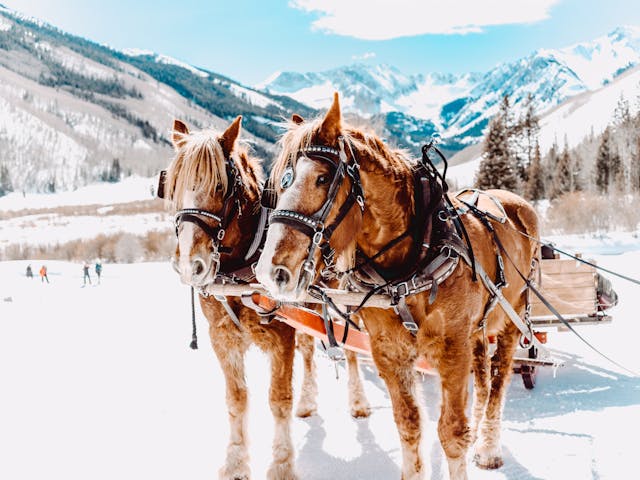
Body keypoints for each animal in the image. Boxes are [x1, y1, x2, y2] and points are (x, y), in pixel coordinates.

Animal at [163, 116, 370, 479]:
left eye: (220, 187)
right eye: (172, 187)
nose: (192, 265)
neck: (239, 270)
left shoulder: (280, 336)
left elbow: (278, 398)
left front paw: (282, 465)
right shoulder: (223, 338)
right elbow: (236, 399)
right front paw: (235, 461)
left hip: (342, 299)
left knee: (351, 349)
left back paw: (358, 401)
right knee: (309, 350)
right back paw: (308, 401)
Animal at [255, 93, 540, 479]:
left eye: (322, 178)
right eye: (281, 183)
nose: (272, 271)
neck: (412, 260)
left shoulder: (453, 348)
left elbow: (452, 432)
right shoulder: (390, 353)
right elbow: (409, 426)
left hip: (512, 319)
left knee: (498, 380)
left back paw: (489, 447)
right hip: (478, 328)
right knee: (482, 378)